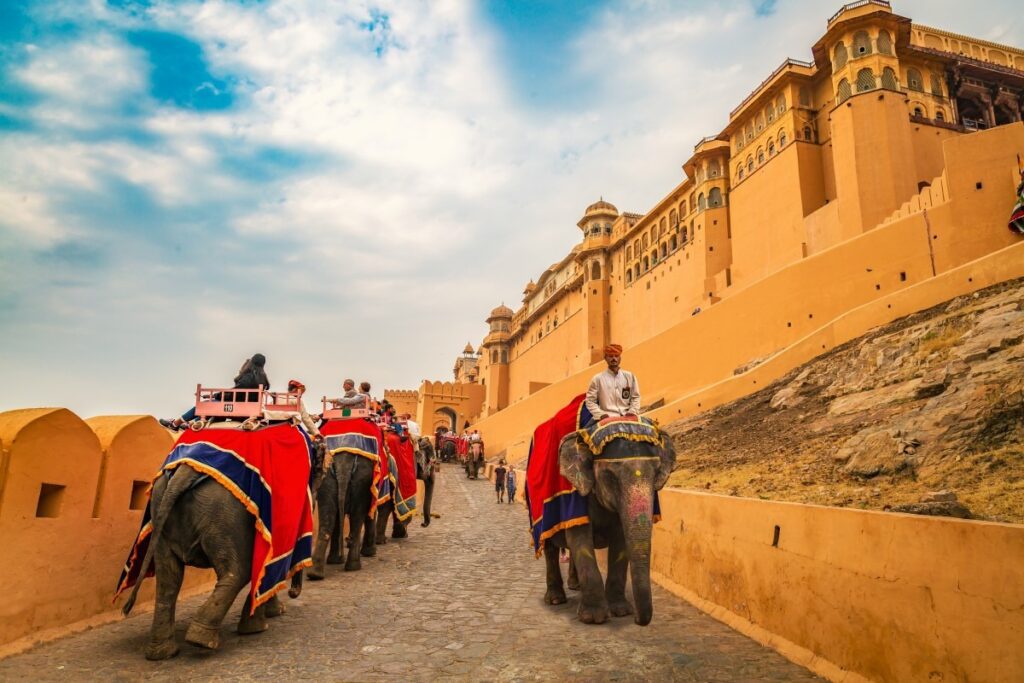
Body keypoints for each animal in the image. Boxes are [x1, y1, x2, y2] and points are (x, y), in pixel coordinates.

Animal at [121, 466, 296, 659]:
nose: (293, 593)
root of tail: (184, 472)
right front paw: (266, 621)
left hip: (162, 507)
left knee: (168, 580)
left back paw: (162, 653)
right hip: (225, 514)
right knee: (238, 572)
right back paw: (201, 640)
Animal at [544, 432, 679, 626]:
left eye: (657, 473)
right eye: (610, 476)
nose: (637, 619)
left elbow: (620, 541)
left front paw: (621, 612)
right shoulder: (575, 498)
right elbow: (580, 540)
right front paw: (592, 618)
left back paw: (575, 586)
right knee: (549, 548)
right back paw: (555, 599)